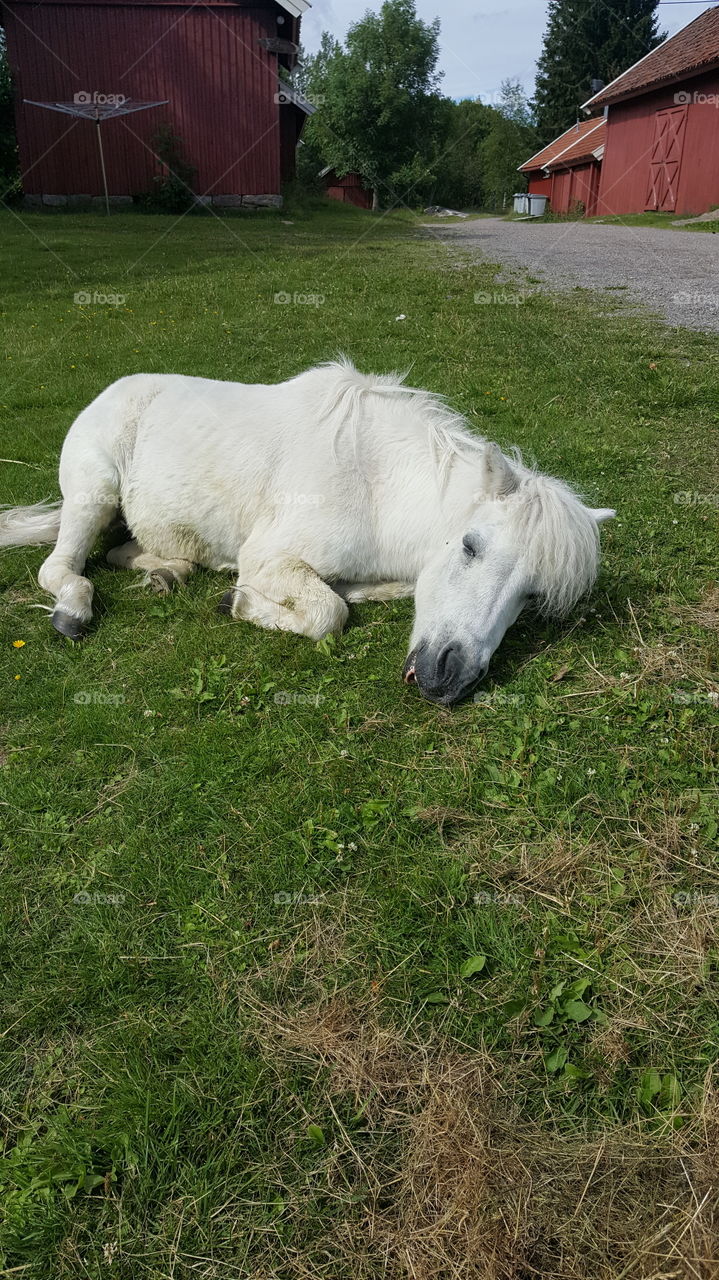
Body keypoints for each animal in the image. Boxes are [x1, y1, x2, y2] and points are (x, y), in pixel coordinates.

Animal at [2, 360, 614, 706]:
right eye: (469, 545)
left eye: (531, 595)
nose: (449, 678)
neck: (376, 484)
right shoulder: (269, 558)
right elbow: (328, 615)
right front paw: (240, 604)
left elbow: (359, 594)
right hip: (94, 493)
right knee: (62, 567)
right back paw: (74, 610)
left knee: (127, 551)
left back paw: (167, 574)